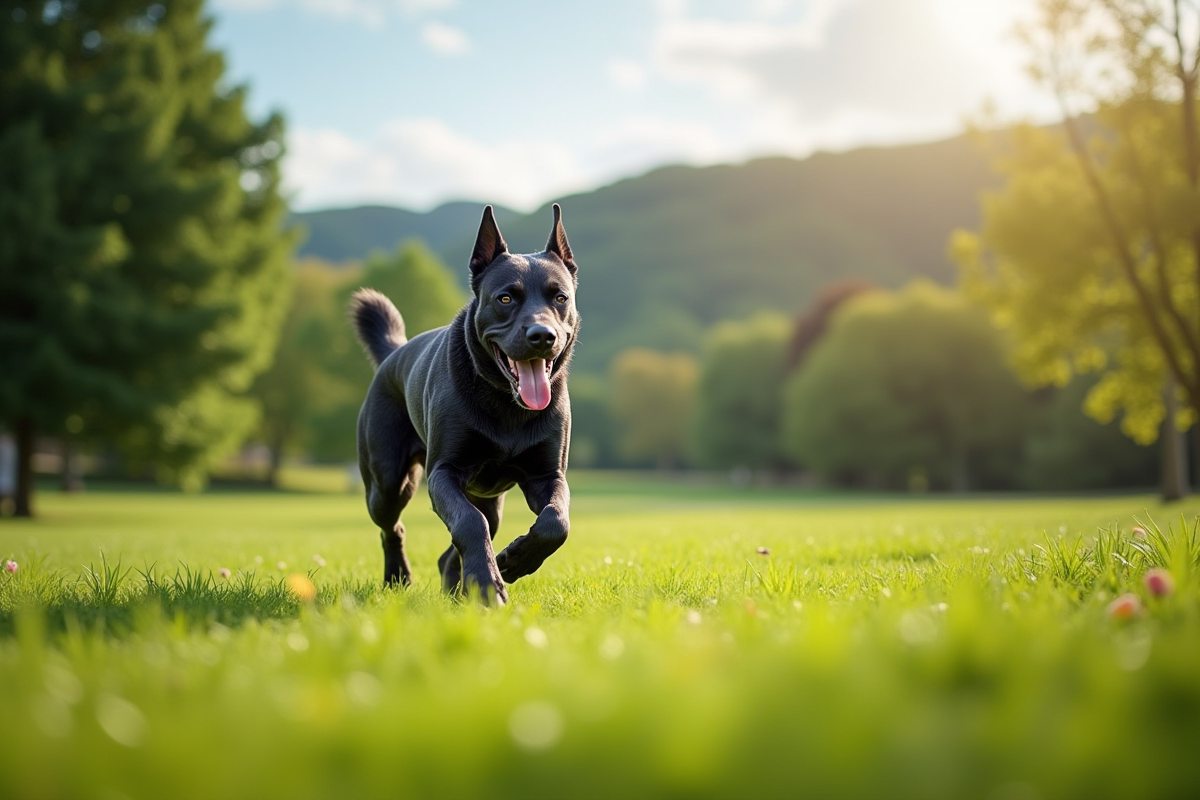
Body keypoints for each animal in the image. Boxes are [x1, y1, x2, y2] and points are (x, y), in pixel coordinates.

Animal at [348, 203, 576, 604]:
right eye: (505, 298)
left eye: (560, 298)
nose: (542, 336)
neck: (507, 406)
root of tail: (393, 353)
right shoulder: (444, 472)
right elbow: (470, 523)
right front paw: (488, 584)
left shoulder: (547, 475)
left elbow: (555, 522)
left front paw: (512, 561)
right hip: (388, 482)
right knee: (395, 527)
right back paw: (399, 577)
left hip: (487, 495)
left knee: (462, 542)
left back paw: (459, 587)